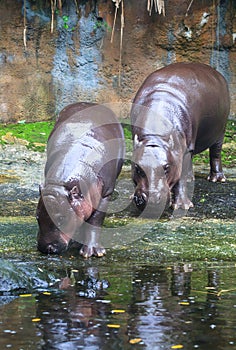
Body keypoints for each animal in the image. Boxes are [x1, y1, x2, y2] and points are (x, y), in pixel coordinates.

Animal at [36, 101, 124, 258]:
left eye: (61, 218)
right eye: (37, 216)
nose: (46, 248)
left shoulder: (105, 194)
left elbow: (95, 221)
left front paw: (93, 252)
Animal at [130, 63, 230, 216]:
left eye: (166, 167)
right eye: (137, 168)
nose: (151, 200)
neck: (155, 137)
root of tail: (217, 73)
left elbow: (180, 179)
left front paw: (182, 206)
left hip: (220, 131)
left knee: (215, 153)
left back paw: (217, 179)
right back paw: (191, 178)